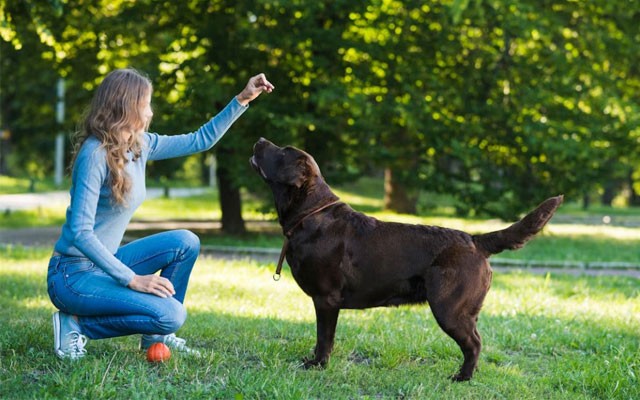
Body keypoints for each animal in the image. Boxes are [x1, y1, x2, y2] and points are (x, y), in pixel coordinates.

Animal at [250, 138, 564, 382]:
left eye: (284, 150)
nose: (260, 139)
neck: (311, 213)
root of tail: (475, 240)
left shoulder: (326, 299)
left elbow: (324, 338)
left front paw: (318, 365)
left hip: (450, 309)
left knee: (474, 344)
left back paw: (462, 377)